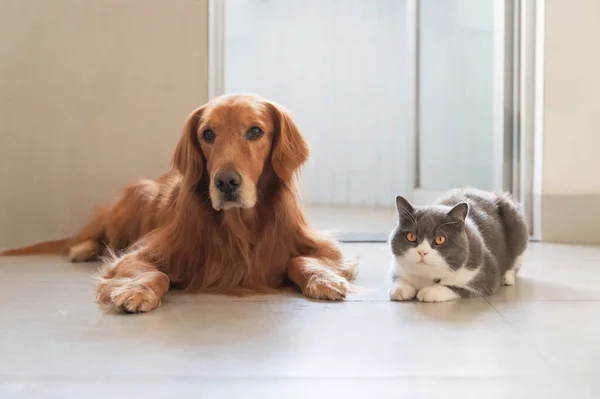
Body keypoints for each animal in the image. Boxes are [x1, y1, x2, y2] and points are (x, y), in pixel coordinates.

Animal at [390, 188, 524, 304]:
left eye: (440, 239)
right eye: (411, 236)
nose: (422, 252)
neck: (427, 276)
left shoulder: (486, 274)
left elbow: (455, 286)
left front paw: (430, 291)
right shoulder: (396, 267)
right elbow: (397, 277)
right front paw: (400, 289)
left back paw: (507, 277)